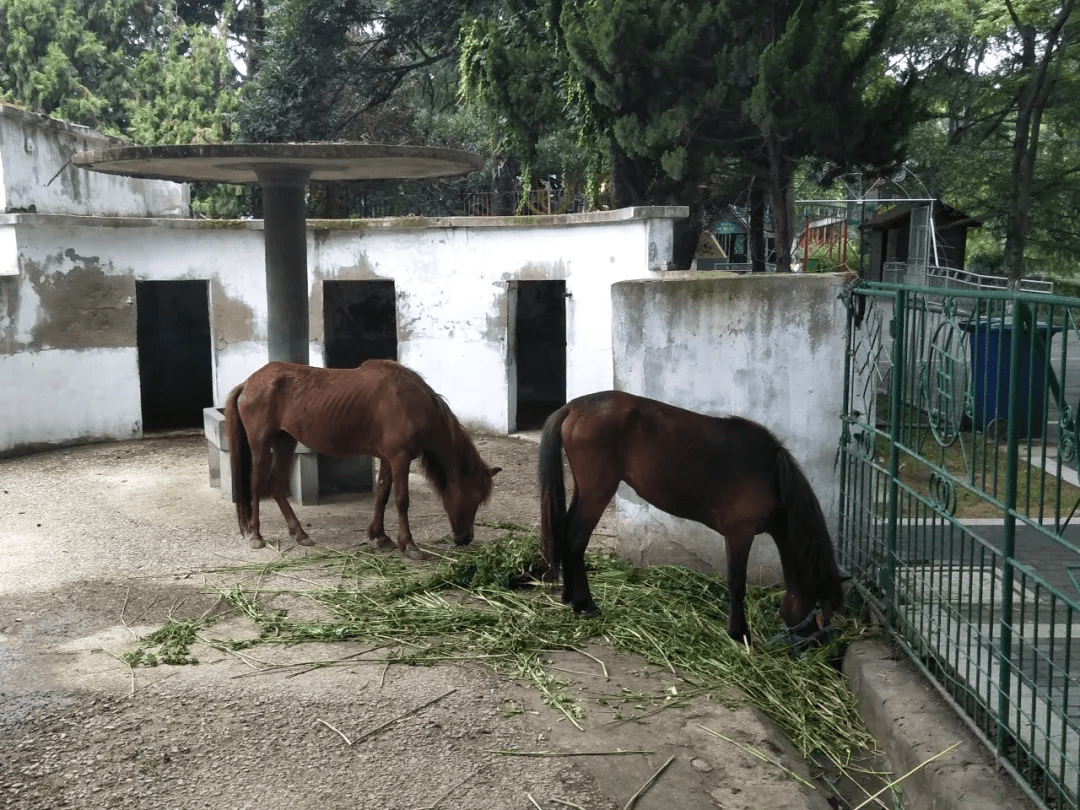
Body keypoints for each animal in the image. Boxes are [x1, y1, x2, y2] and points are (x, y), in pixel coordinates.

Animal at [226, 360, 501, 557]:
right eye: (475, 497)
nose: (466, 538)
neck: (409, 402)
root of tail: (248, 382)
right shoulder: (400, 458)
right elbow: (401, 500)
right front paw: (409, 545)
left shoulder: (389, 458)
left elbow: (382, 495)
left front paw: (381, 537)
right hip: (261, 444)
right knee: (256, 485)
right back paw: (256, 536)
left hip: (285, 441)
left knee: (276, 484)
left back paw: (300, 533)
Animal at [540, 390, 842, 648]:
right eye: (821, 616)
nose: (821, 649)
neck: (772, 475)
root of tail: (573, 407)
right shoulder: (739, 534)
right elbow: (737, 583)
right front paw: (739, 633)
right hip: (597, 492)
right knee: (576, 540)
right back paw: (585, 604)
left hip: (584, 490)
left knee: (565, 533)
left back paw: (569, 597)